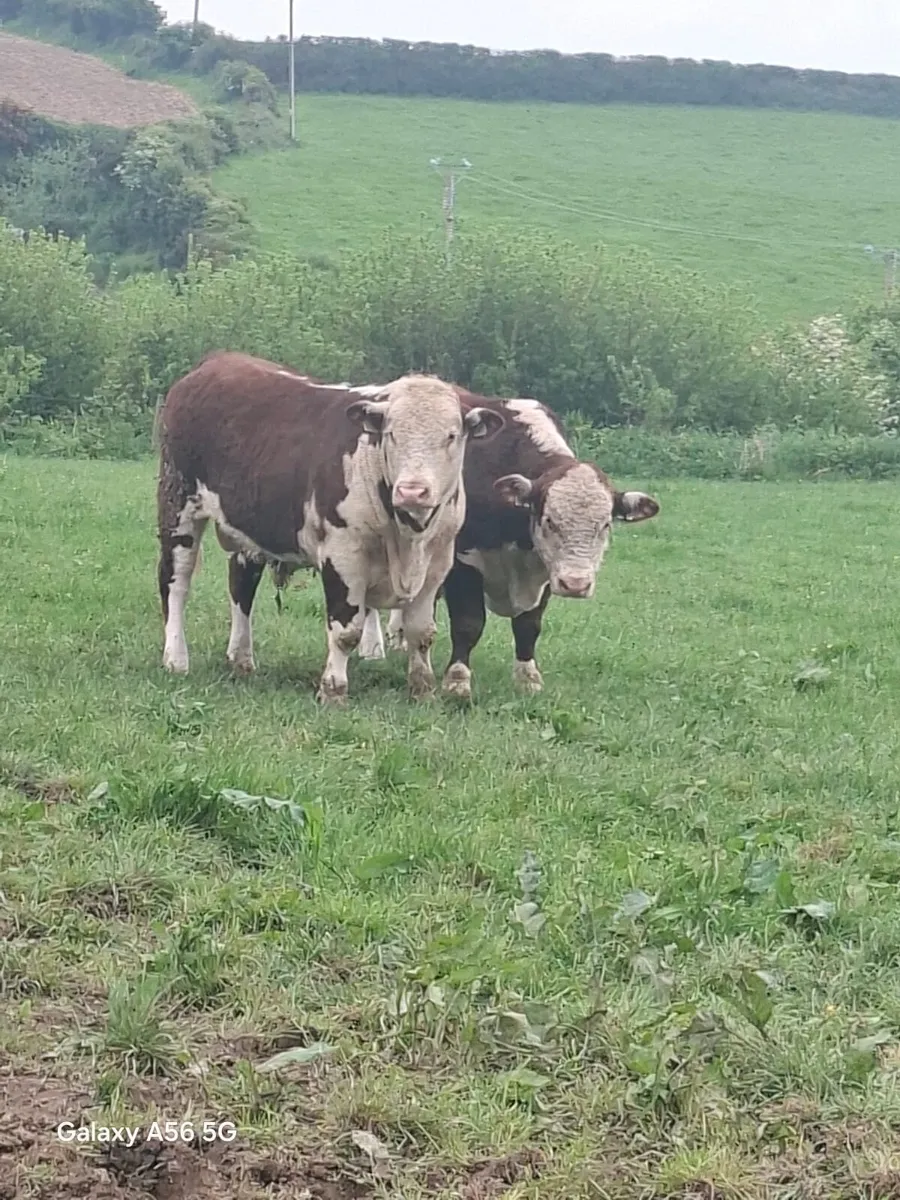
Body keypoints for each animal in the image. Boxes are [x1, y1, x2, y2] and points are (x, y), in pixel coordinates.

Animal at [155, 352, 504, 704]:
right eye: (391, 434)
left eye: (451, 436)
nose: (412, 491)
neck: (408, 540)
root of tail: (219, 359)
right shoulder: (343, 555)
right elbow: (346, 631)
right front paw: (333, 689)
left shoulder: (437, 562)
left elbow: (422, 632)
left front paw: (423, 690)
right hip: (178, 504)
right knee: (175, 581)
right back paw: (176, 659)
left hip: (246, 531)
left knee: (242, 585)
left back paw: (241, 659)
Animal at [358, 390, 659, 699]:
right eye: (549, 521)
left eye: (605, 525)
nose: (576, 584)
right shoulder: (463, 564)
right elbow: (468, 624)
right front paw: (457, 679)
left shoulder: (546, 571)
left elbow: (528, 626)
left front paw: (528, 678)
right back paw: (372, 648)